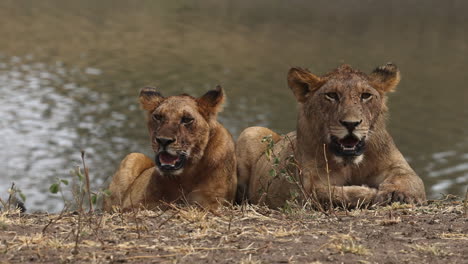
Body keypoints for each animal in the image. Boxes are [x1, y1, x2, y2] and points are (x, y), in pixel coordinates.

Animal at [106, 85, 238, 211]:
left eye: (187, 119)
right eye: (158, 117)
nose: (163, 140)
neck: (186, 176)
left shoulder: (212, 201)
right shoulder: (145, 202)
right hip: (133, 156)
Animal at [238, 63, 428, 207]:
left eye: (365, 95)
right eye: (332, 95)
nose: (351, 124)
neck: (349, 164)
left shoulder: (396, 165)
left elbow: (408, 178)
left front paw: (397, 194)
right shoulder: (309, 184)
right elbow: (332, 193)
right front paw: (369, 192)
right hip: (252, 131)